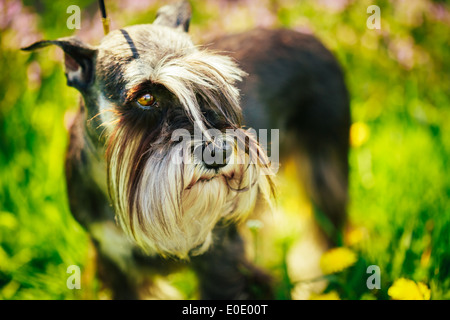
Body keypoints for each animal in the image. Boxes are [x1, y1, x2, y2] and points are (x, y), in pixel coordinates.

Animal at [22, 0, 350, 300]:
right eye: (146, 97)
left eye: (211, 86)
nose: (219, 153)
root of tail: (311, 37)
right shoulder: (115, 264)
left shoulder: (221, 259)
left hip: (326, 173)